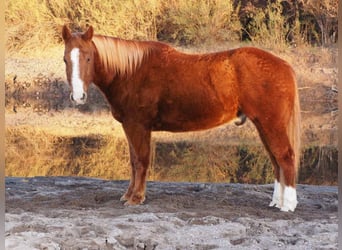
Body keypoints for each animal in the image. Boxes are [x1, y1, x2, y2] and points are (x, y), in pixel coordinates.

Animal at [62, 25, 300, 212]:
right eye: (65, 59)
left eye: (88, 58)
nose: (78, 96)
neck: (131, 71)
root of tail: (284, 65)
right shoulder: (130, 127)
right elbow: (133, 162)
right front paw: (128, 195)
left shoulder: (138, 126)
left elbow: (140, 161)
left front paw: (136, 198)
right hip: (263, 125)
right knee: (276, 160)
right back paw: (276, 202)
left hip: (271, 124)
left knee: (285, 157)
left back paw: (287, 205)